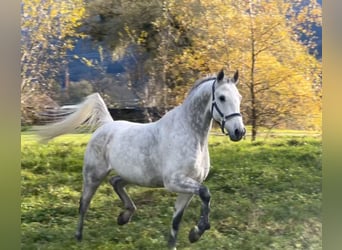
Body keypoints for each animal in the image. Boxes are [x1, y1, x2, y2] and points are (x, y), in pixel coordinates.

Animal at [36, 68, 246, 248]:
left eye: (239, 98)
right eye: (222, 97)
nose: (239, 132)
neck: (190, 134)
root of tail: (106, 125)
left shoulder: (188, 186)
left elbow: (177, 221)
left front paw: (189, 235)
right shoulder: (175, 182)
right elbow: (205, 193)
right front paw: (197, 232)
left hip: (132, 175)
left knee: (116, 181)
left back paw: (125, 216)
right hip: (93, 175)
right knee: (84, 204)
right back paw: (79, 237)